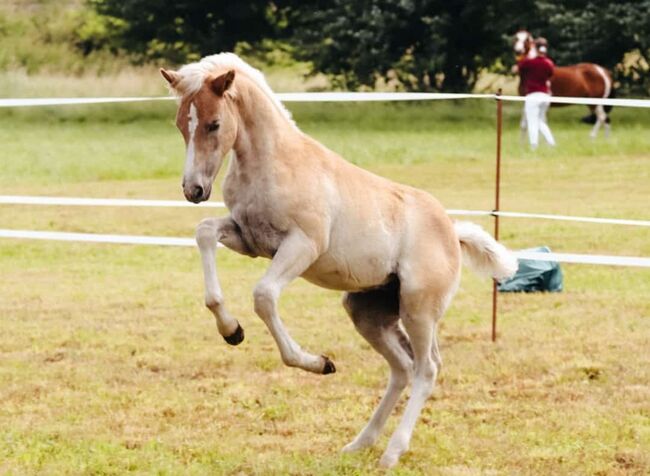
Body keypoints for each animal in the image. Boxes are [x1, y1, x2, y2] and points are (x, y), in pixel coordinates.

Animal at [159, 53, 512, 468]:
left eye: (214, 123)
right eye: (180, 123)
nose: (193, 189)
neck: (275, 162)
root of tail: (453, 232)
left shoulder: (302, 245)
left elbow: (264, 296)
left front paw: (318, 362)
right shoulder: (249, 238)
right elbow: (204, 233)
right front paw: (232, 330)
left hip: (418, 310)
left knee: (426, 369)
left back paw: (392, 452)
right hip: (368, 311)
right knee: (402, 367)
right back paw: (361, 442)